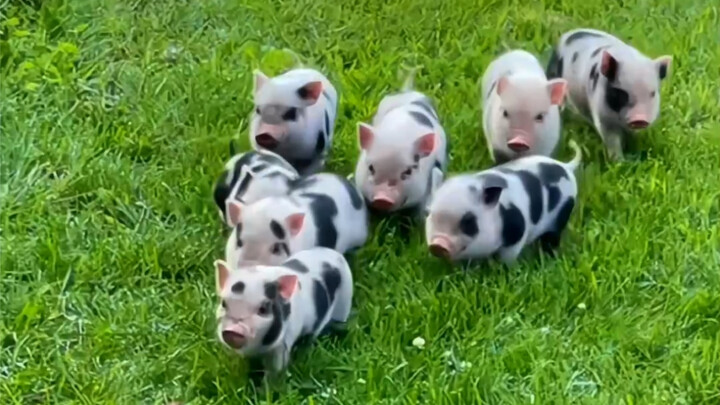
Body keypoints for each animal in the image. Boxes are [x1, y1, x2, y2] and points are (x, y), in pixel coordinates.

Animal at [214, 247, 353, 373]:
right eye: (224, 303)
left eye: (263, 309)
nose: (232, 330)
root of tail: (335, 254)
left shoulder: (283, 345)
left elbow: (276, 369)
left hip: (345, 301)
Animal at [425, 140, 582, 263]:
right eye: (430, 215)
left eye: (468, 221)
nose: (438, 245)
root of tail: (566, 167)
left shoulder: (517, 232)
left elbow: (508, 257)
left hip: (562, 213)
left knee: (552, 237)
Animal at [546, 28, 672, 160]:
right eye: (621, 93)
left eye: (652, 93)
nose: (639, 119)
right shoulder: (603, 117)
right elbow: (612, 139)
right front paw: (619, 161)